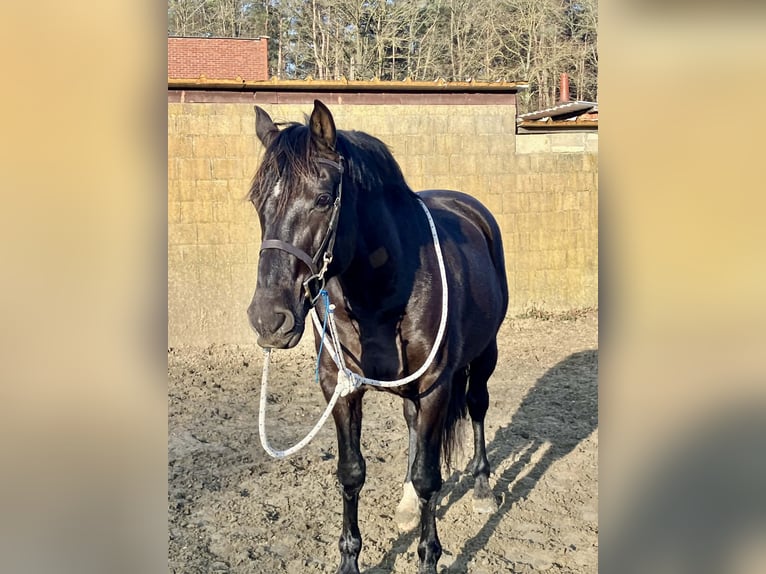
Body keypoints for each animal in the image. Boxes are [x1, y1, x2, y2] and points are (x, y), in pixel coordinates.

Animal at [246, 100, 509, 574]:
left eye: (323, 199)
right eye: (258, 201)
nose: (268, 319)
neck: (384, 292)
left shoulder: (437, 387)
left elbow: (430, 477)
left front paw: (428, 557)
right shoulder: (341, 387)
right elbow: (352, 472)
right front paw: (350, 560)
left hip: (483, 357)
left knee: (478, 406)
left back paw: (481, 488)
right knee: (411, 425)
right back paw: (406, 503)